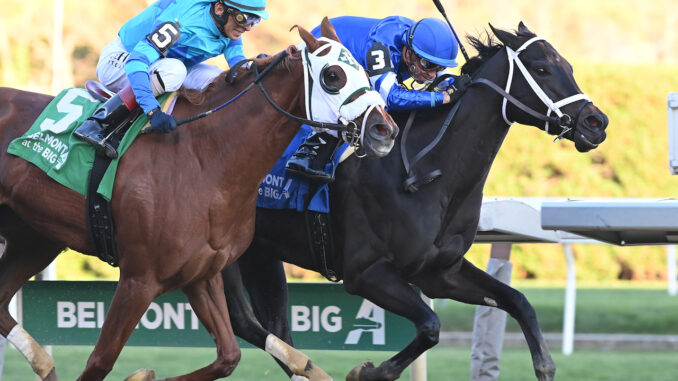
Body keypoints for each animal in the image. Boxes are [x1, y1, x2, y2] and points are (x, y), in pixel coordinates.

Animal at [0, 19, 398, 380]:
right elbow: (99, 362)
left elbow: (229, 356)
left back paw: (44, 362)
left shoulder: (202, 274)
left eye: (365, 72)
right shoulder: (139, 278)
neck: (204, 157)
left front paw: (142, 375)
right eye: (333, 76)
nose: (385, 130)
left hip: (33, 237)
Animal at [223, 23, 612, 380]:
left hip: (260, 253)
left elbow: (519, 301)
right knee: (244, 322)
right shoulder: (366, 273)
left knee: (272, 327)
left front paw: (545, 365)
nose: (597, 122)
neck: (428, 173)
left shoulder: (440, 273)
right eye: (542, 68)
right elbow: (430, 325)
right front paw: (368, 371)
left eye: (568, 66)